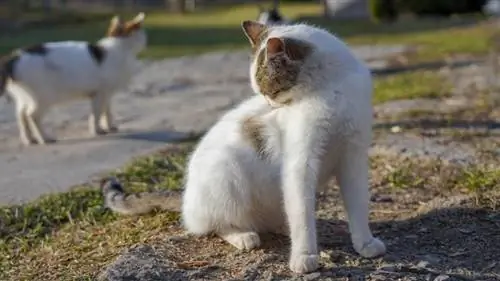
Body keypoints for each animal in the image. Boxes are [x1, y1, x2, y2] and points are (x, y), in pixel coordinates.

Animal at [0, 12, 147, 144]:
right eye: (142, 33)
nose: (146, 39)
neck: (119, 49)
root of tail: (14, 57)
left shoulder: (106, 94)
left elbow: (106, 111)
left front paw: (109, 126)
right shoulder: (100, 93)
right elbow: (97, 113)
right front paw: (97, 130)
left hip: (24, 97)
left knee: (21, 115)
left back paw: (29, 139)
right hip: (43, 96)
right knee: (32, 116)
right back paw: (45, 138)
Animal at [101, 20, 384, 274]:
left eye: (271, 92)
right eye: (264, 94)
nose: (268, 106)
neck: (332, 89)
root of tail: (186, 197)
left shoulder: (353, 157)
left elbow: (357, 205)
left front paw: (365, 243)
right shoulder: (300, 164)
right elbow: (302, 215)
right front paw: (304, 257)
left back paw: (281, 225)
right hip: (226, 173)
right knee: (215, 225)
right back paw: (243, 236)